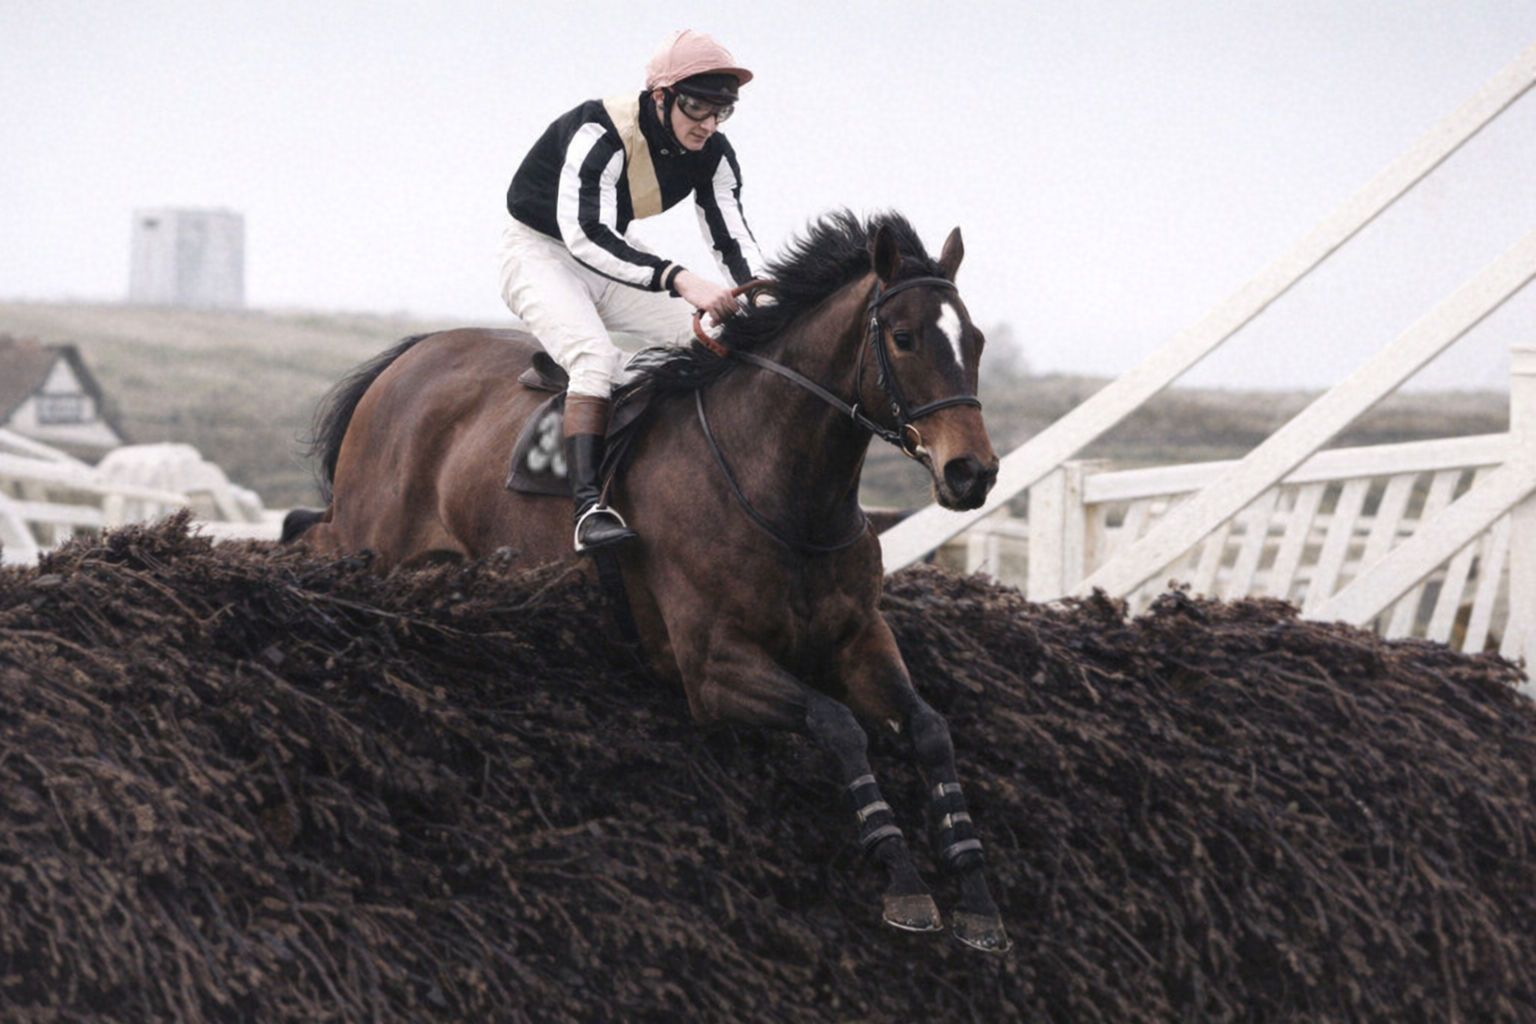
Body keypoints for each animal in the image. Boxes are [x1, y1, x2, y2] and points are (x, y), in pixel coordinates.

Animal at [287, 210, 1009, 952]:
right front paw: (904, 879)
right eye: (904, 338)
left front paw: (977, 893)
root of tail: (410, 357)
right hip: (369, 536)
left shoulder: (859, 636)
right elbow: (837, 725)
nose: (971, 473)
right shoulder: (710, 665)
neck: (780, 487)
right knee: (306, 536)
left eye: (976, 340)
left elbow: (930, 729)